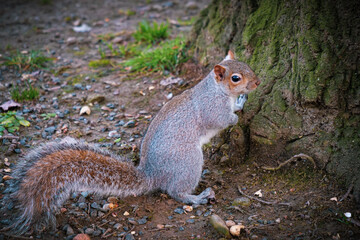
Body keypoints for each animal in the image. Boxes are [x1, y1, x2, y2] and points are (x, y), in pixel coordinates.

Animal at [0, 50, 258, 234]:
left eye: (248, 66)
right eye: (236, 78)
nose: (256, 83)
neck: (217, 90)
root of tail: (151, 174)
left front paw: (240, 102)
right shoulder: (210, 108)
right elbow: (222, 119)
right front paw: (237, 114)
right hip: (189, 161)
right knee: (175, 191)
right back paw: (197, 197)